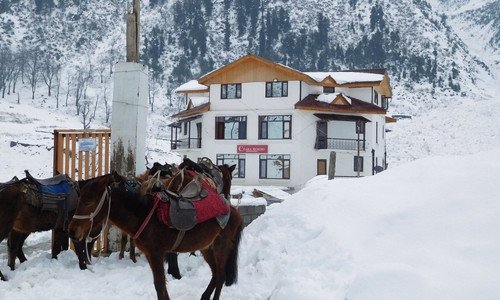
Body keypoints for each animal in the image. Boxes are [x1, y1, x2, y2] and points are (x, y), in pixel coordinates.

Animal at [69, 164, 243, 300]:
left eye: (89, 201)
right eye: (80, 199)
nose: (72, 231)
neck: (145, 213)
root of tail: (233, 210)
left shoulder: (156, 254)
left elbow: (160, 286)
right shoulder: (151, 255)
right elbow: (161, 286)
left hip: (221, 247)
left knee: (221, 276)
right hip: (207, 248)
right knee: (215, 274)